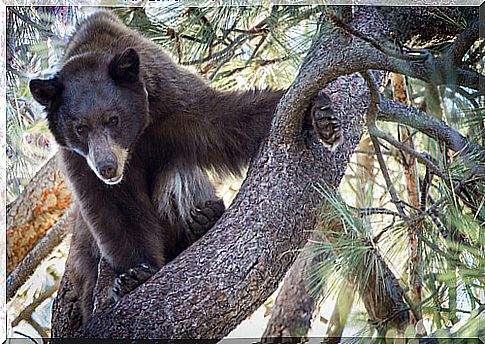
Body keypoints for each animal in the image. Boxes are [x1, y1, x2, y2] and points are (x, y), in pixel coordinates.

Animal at [27, 10, 336, 322]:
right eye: (80, 128)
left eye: (113, 119)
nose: (107, 168)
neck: (137, 138)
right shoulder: (78, 160)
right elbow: (113, 209)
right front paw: (134, 274)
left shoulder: (170, 96)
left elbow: (224, 118)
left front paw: (318, 113)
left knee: (177, 173)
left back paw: (203, 219)